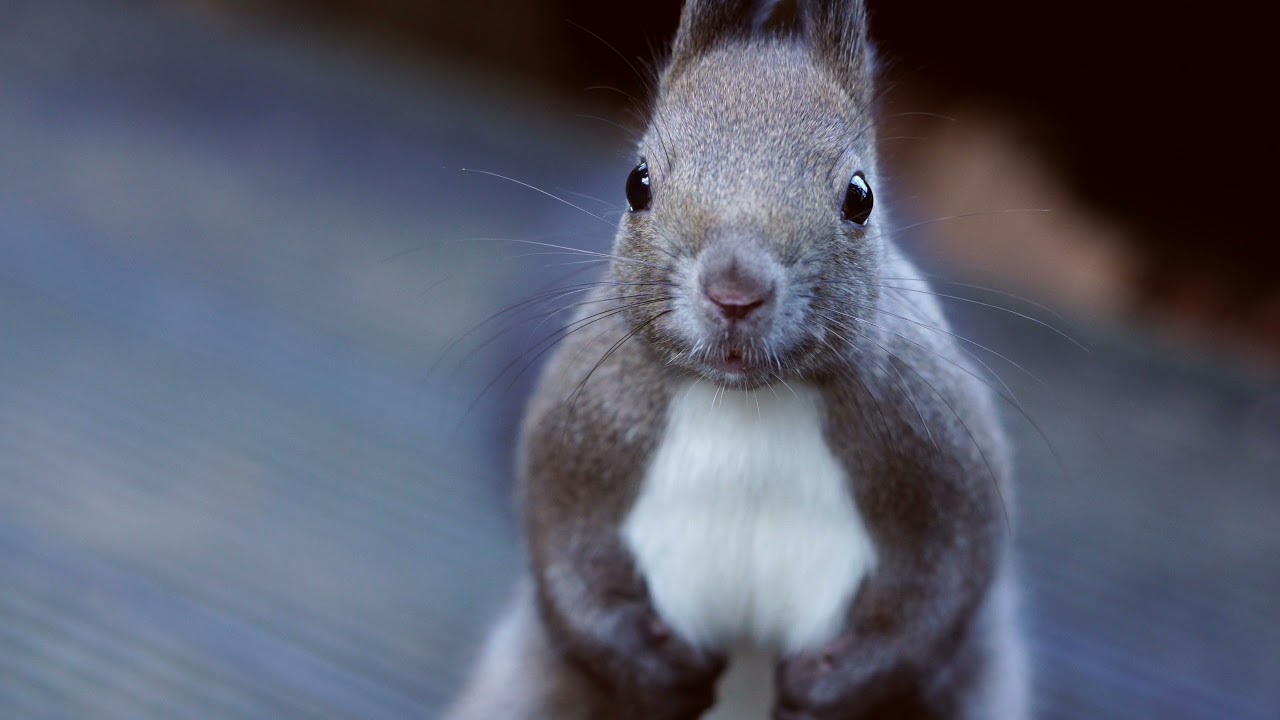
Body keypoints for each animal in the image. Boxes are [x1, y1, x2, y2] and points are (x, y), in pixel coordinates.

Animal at [446, 1, 1027, 718]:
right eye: (637, 182)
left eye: (860, 196)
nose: (734, 291)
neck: (748, 402)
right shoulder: (580, 422)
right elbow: (561, 549)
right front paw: (652, 668)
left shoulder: (933, 436)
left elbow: (946, 581)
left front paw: (827, 685)